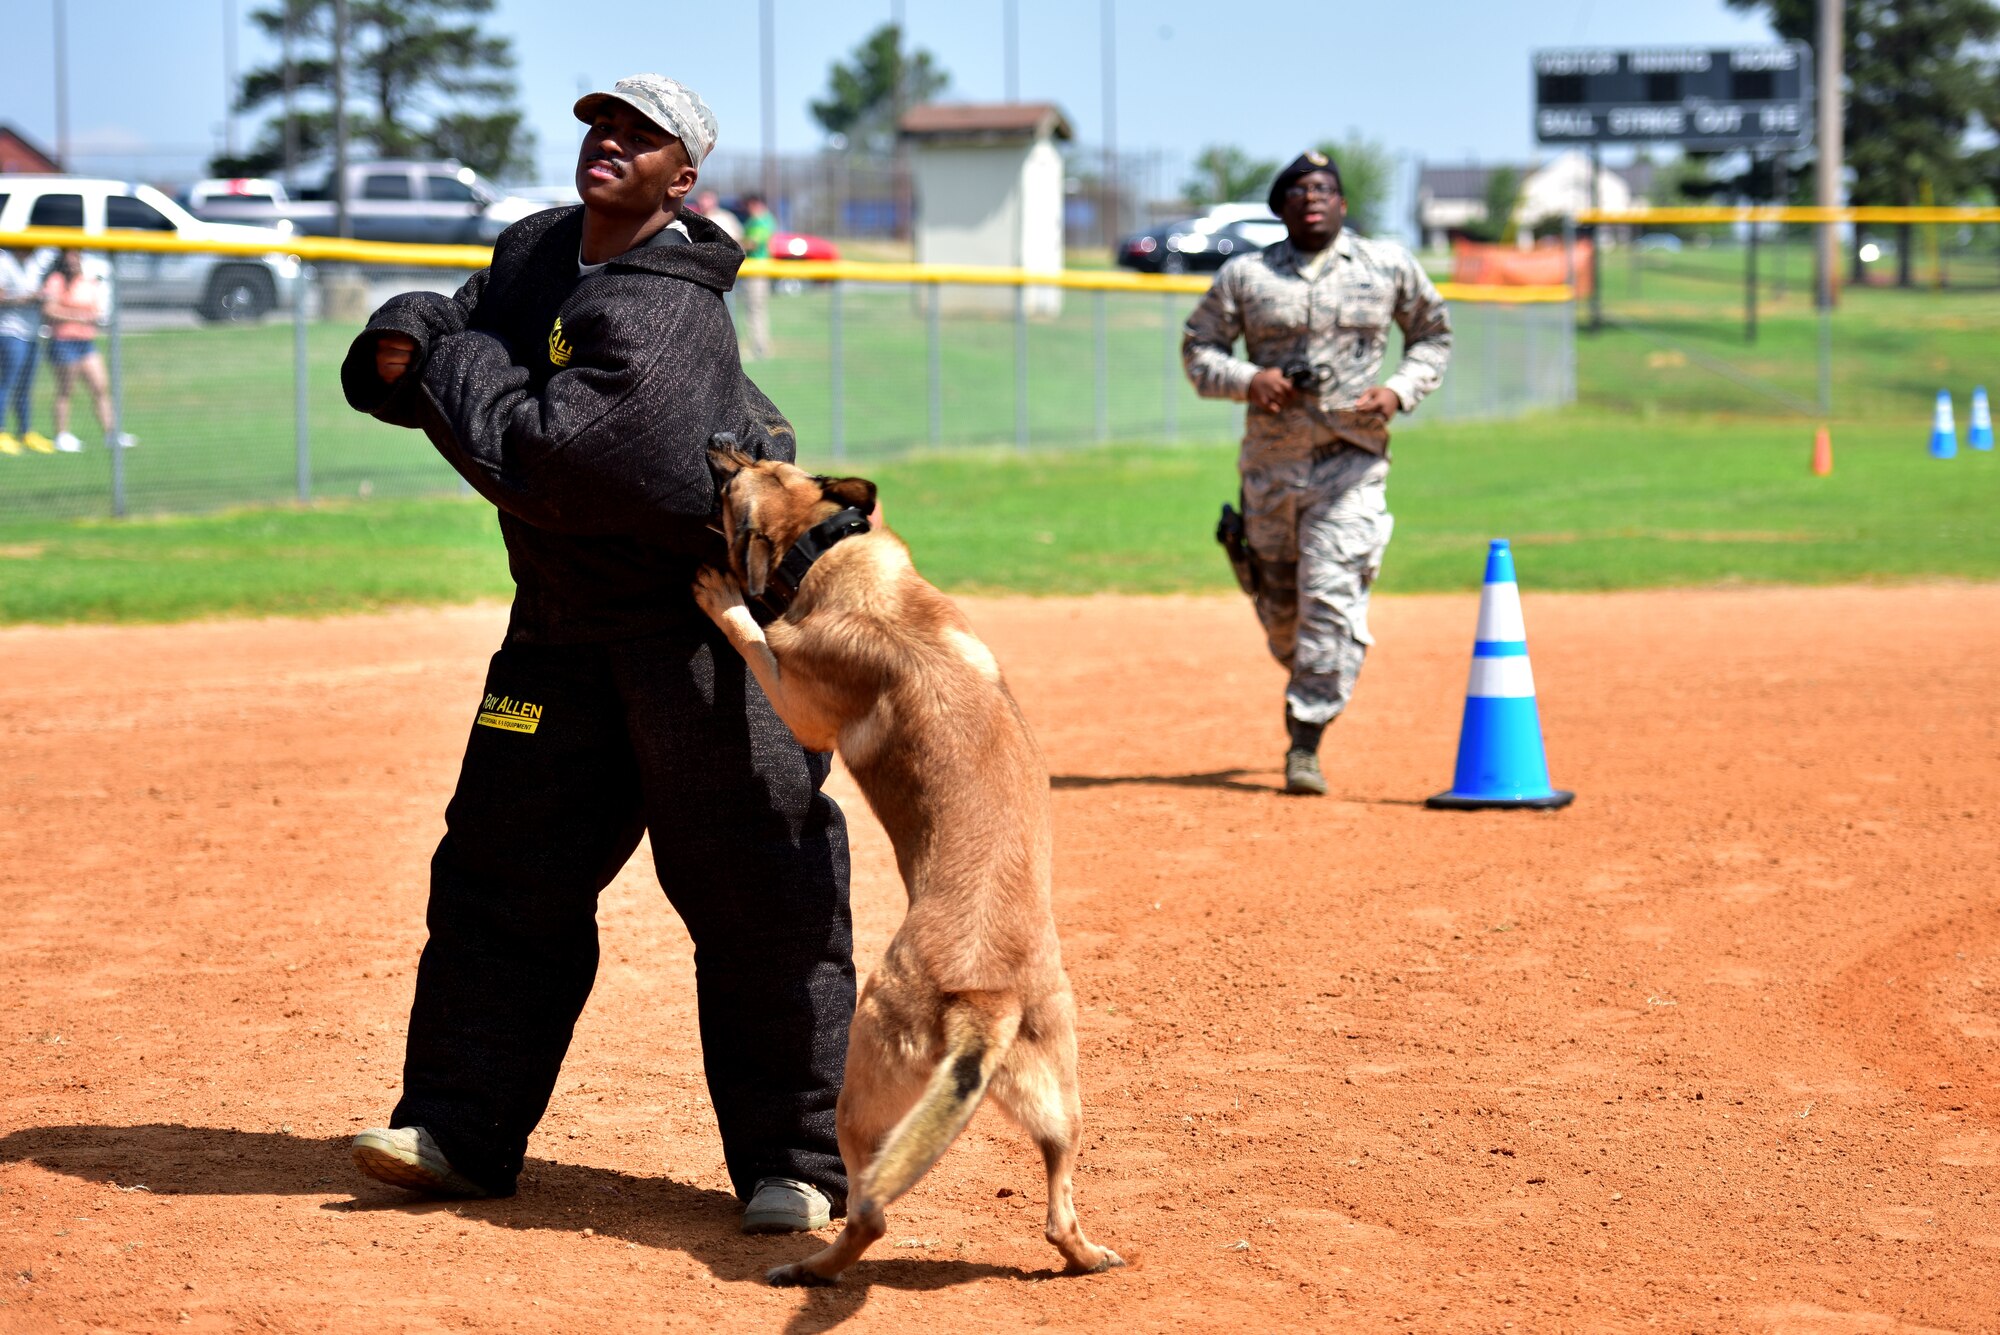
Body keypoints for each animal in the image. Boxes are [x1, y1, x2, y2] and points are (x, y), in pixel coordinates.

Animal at [692, 453, 1128, 1287]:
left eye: (747, 475)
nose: (721, 443)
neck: (835, 554)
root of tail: (988, 998)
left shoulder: (800, 698)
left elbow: (753, 635)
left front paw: (722, 595)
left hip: (861, 1090)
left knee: (869, 1212)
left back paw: (810, 1269)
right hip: (1062, 1102)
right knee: (1058, 1210)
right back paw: (1087, 1256)